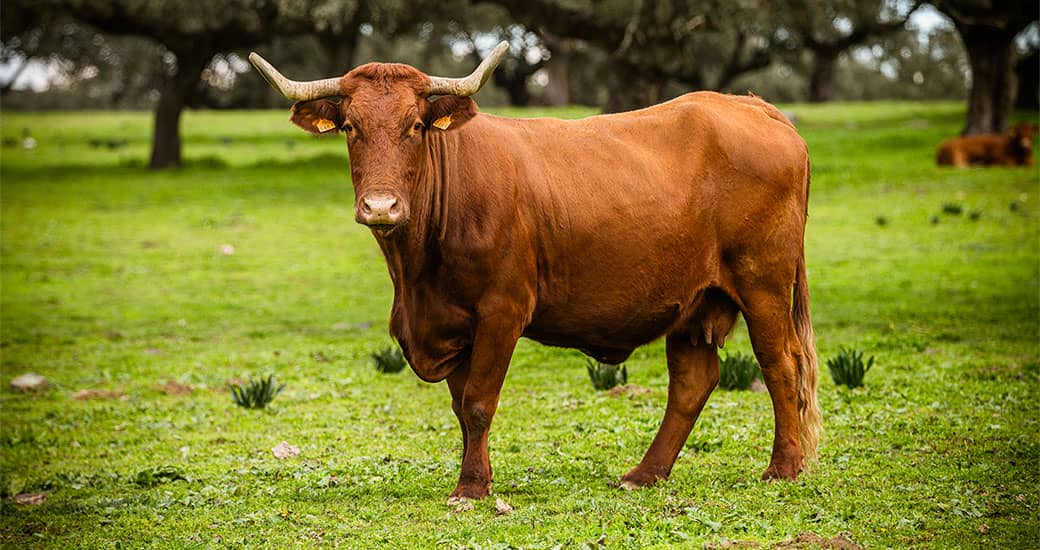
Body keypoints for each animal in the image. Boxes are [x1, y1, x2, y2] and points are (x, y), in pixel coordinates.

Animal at [249, 42, 819, 503]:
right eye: (351, 127)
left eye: (414, 127)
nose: (381, 207)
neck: (415, 277)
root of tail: (750, 104)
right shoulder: (450, 323)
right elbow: (461, 407)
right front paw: (477, 477)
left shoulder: (502, 311)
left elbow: (479, 403)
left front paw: (470, 489)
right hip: (695, 301)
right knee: (692, 382)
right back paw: (644, 474)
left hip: (763, 282)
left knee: (780, 364)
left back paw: (783, 468)